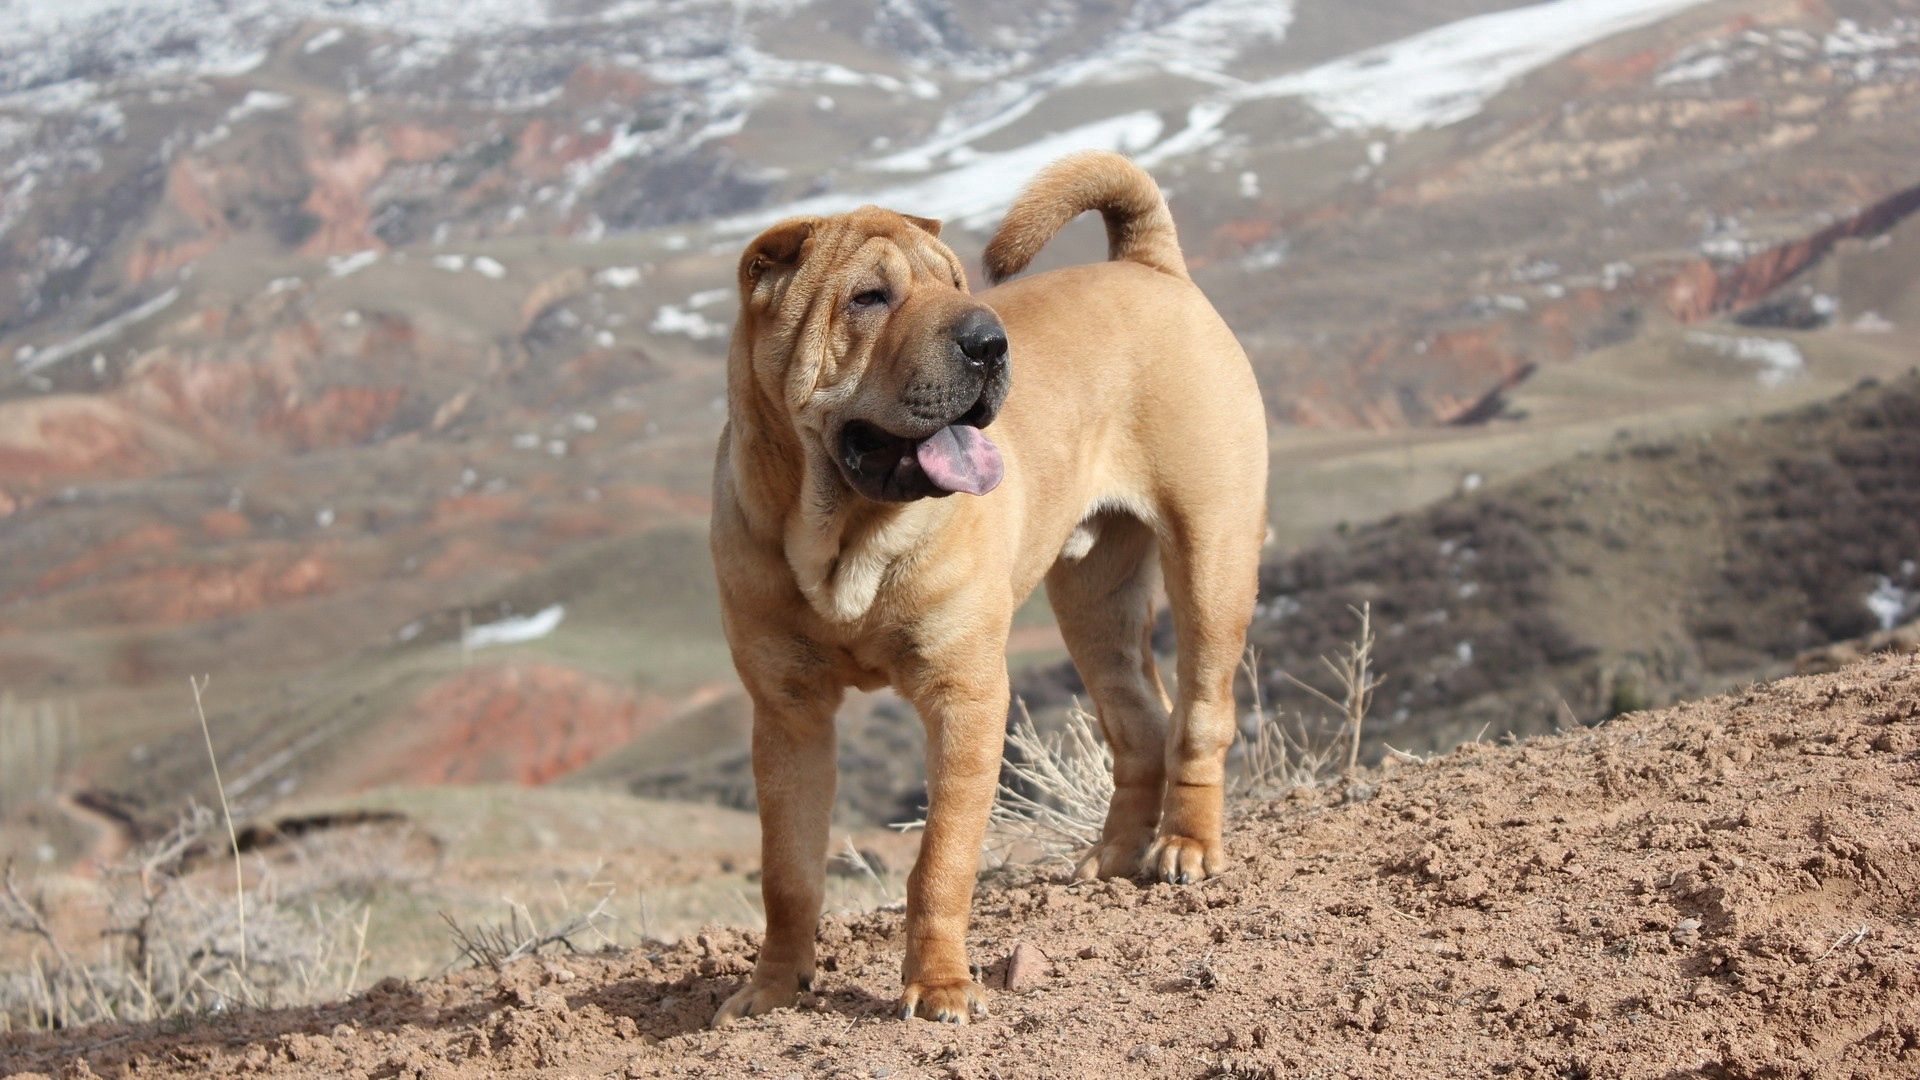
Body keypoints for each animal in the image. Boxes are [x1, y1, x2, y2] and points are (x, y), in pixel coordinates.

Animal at [714, 148, 1267, 1014]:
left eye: (956, 284)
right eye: (869, 297)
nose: (988, 341)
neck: (844, 535)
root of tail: (1150, 267)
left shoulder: (964, 694)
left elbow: (941, 859)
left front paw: (940, 988)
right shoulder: (788, 713)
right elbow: (788, 872)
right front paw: (771, 988)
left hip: (1213, 559)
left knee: (1202, 713)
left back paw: (1184, 846)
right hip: (1094, 603)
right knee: (1139, 722)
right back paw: (1111, 860)